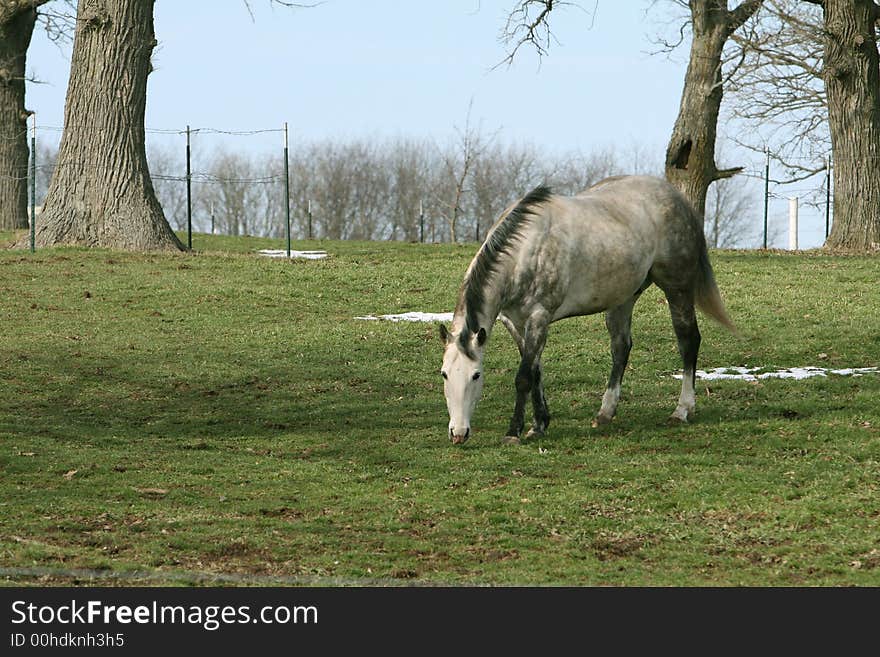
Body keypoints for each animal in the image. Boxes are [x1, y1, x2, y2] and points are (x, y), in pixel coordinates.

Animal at [440, 173, 736, 446]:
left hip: (677, 289)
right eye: (444, 374)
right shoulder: (514, 322)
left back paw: (682, 410)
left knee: (688, 341)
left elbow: (523, 377)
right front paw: (540, 424)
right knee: (621, 348)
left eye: (476, 375)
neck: (524, 251)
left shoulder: (539, 317)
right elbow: (535, 371)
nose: (458, 433)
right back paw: (605, 413)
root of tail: (677, 198)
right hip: (623, 298)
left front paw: (514, 432)